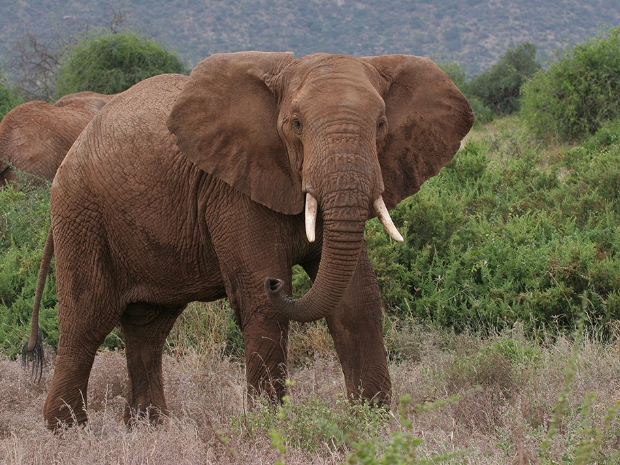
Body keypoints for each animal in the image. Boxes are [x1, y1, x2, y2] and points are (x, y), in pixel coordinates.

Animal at [21, 49, 472, 428]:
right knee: (86, 322)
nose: (278, 283)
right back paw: (68, 431)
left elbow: (355, 299)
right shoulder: (232, 190)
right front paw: (272, 427)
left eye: (380, 125)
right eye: (296, 124)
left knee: (148, 328)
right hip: (81, 214)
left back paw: (149, 427)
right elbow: (262, 304)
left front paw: (372, 424)